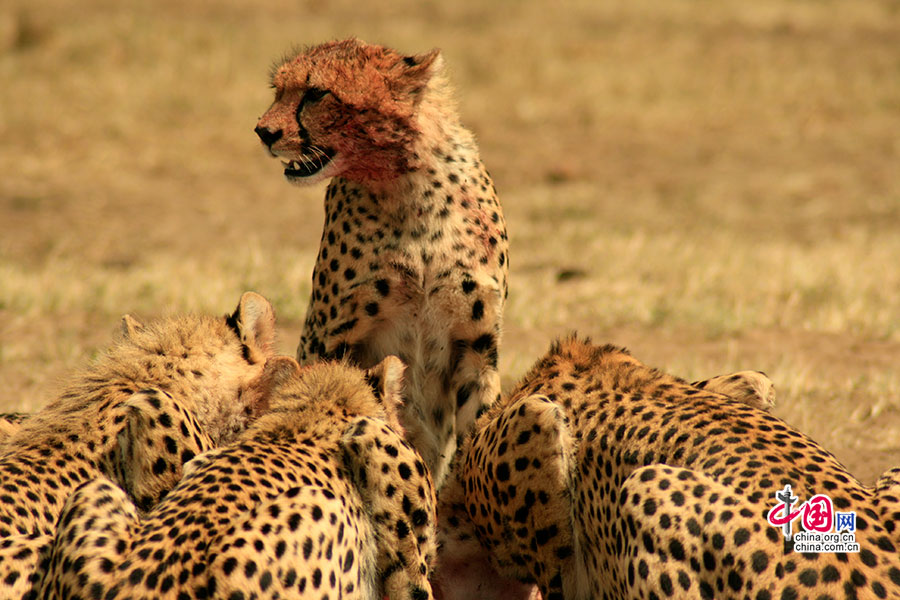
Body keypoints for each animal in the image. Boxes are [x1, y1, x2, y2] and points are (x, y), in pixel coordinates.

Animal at [255, 36, 506, 488]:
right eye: (278, 91)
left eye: (316, 93)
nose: (264, 131)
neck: (406, 186)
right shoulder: (329, 338)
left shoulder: (478, 345)